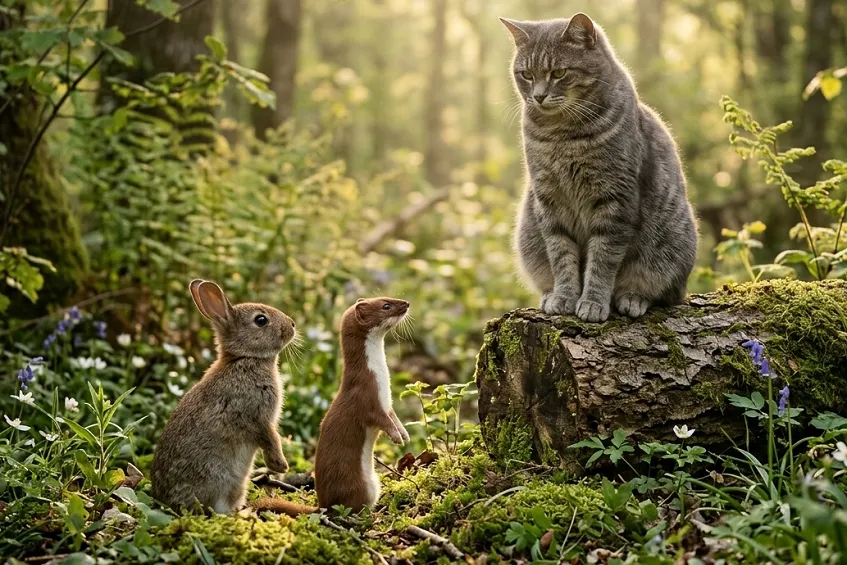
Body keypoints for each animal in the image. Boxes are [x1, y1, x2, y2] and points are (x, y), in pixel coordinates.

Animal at [151, 279, 296, 514]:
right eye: (261, 320)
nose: (292, 325)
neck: (244, 357)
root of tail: (166, 504)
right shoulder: (256, 415)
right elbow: (270, 438)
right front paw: (281, 465)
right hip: (222, 480)